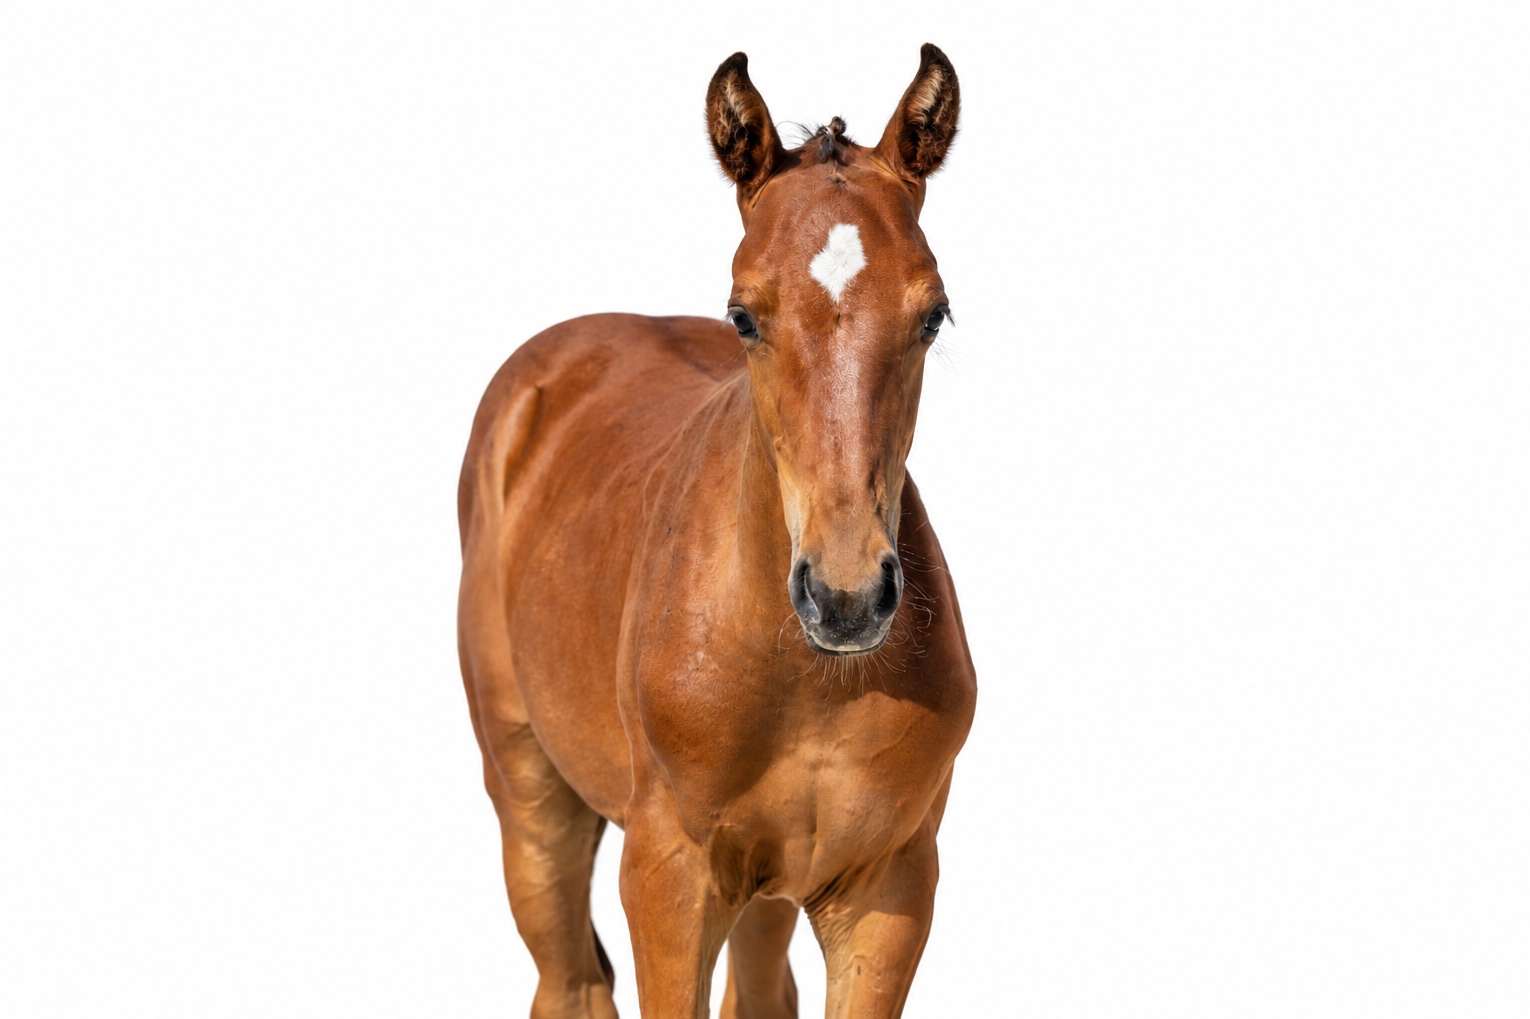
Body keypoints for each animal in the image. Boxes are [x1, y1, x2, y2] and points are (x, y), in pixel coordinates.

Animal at [457, 44, 976, 1018]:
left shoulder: (889, 889)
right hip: (528, 790)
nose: (847, 597)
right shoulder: (667, 877)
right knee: (568, 978)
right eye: (744, 314)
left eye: (933, 315)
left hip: (768, 889)